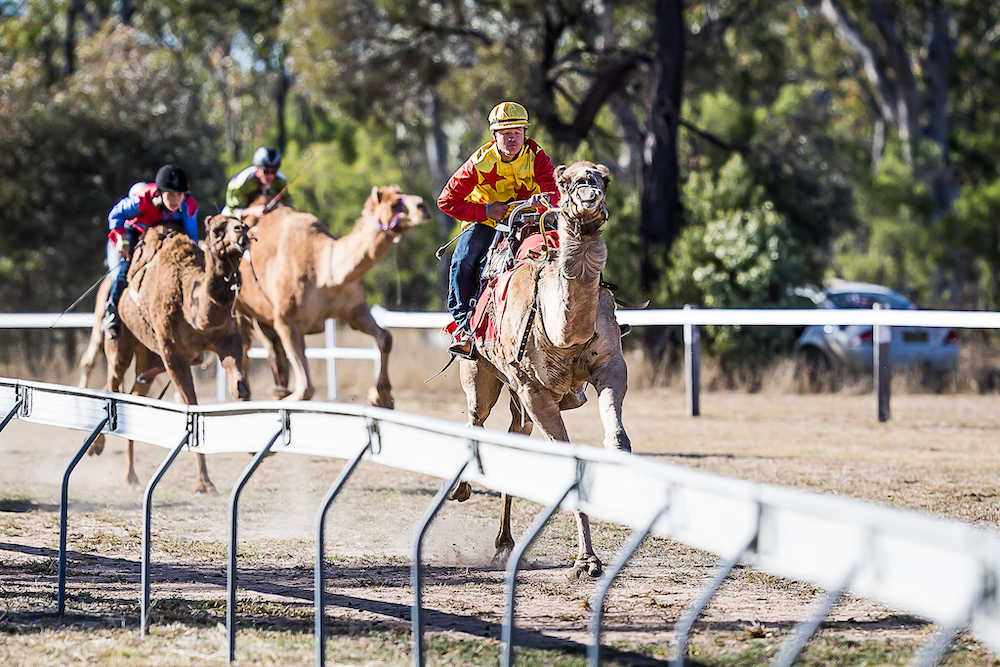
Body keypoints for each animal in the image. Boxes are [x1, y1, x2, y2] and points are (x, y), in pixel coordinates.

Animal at [88, 217, 252, 494]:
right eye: (217, 230)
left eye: (239, 223)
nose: (242, 231)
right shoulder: (173, 355)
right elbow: (191, 406)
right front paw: (204, 483)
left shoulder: (228, 339)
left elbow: (240, 388)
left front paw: (256, 449)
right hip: (121, 344)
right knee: (112, 382)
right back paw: (96, 447)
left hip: (149, 355)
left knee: (135, 395)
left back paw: (130, 477)